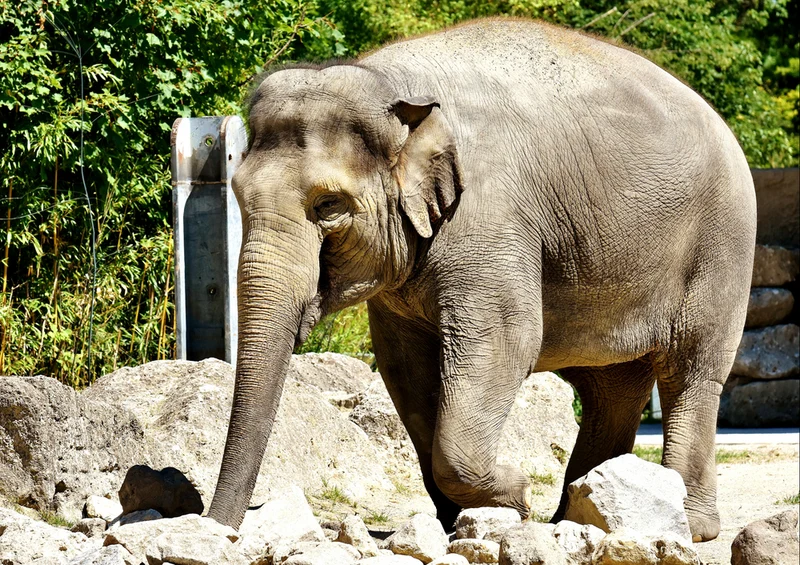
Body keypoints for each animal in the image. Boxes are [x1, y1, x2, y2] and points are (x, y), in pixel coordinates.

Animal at [206, 18, 756, 543]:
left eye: (328, 205)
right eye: (237, 193)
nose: (220, 528)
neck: (389, 86)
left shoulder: (490, 221)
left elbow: (505, 341)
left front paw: (514, 500)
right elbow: (403, 365)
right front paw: (465, 520)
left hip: (721, 246)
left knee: (692, 371)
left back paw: (686, 525)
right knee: (611, 386)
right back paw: (578, 517)